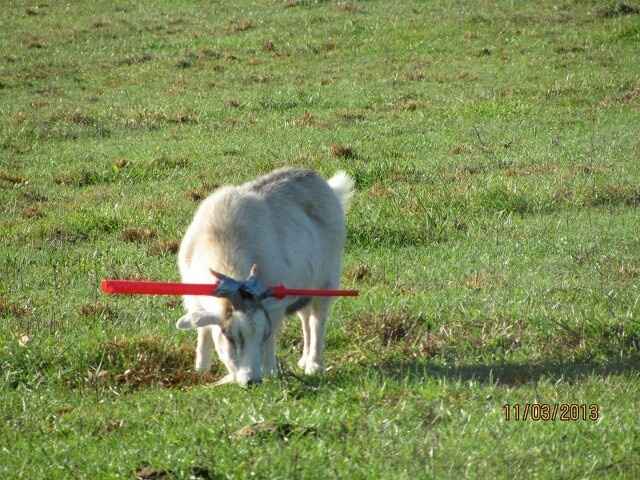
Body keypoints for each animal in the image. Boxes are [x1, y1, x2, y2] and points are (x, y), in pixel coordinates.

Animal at [176, 168, 354, 386]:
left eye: (262, 334)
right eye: (230, 337)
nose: (251, 380)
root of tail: (325, 185)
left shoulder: (274, 306)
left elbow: (271, 341)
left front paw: (270, 372)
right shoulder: (193, 299)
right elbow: (203, 331)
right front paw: (201, 367)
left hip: (326, 281)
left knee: (317, 320)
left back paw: (314, 365)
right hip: (303, 288)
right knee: (305, 317)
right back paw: (303, 360)